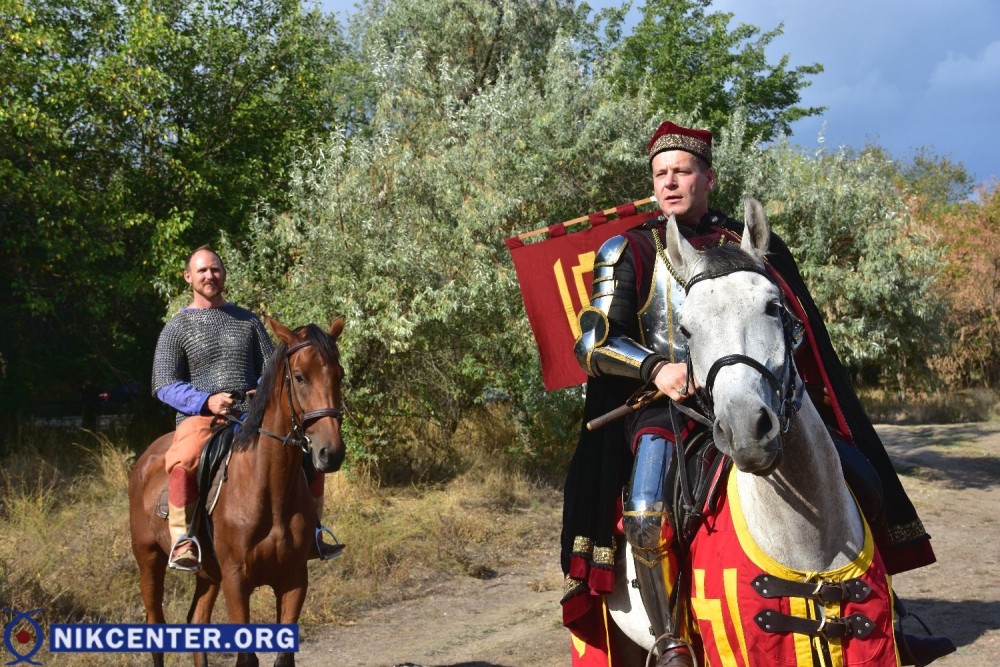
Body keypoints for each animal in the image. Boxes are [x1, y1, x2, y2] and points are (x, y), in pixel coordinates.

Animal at [129, 316, 348, 664]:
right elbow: (247, 658)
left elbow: (284, 657)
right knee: (155, 627)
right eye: (300, 377)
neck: (267, 490)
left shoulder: (294, 579)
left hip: (208, 574)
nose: (331, 452)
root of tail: (144, 462)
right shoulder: (236, 581)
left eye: (339, 375)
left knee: (197, 621)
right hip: (148, 559)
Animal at [608, 198, 900, 667]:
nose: (746, 431)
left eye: (773, 307)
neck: (806, 545)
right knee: (646, 523)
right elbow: (600, 338)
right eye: (685, 328)